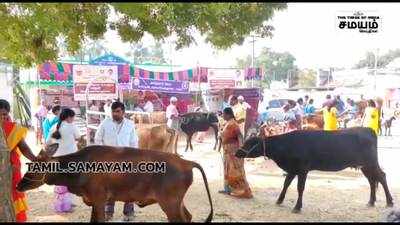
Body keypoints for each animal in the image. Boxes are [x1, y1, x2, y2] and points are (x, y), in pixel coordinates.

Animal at [17, 143, 214, 222]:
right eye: (30, 165)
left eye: (37, 168)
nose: (19, 185)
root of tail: (186, 162)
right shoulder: (94, 202)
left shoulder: (99, 199)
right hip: (176, 202)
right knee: (188, 216)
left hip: (169, 203)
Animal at [234, 127, 394, 214]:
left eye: (250, 143)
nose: (237, 152)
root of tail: (367, 129)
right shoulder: (292, 169)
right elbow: (286, 184)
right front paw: (279, 200)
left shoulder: (302, 169)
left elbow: (300, 188)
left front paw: (297, 207)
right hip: (364, 166)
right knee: (372, 181)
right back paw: (371, 201)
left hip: (371, 163)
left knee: (382, 177)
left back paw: (389, 201)